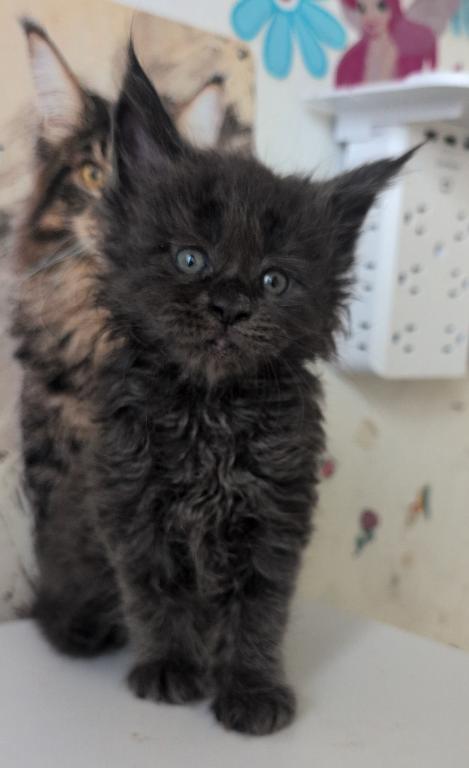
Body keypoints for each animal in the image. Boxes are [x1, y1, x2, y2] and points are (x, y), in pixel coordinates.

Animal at [13, 20, 414, 735]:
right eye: (190, 259)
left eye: (274, 280)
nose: (229, 305)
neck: (209, 411)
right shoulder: (132, 507)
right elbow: (157, 595)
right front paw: (171, 669)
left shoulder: (276, 511)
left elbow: (258, 611)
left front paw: (251, 689)